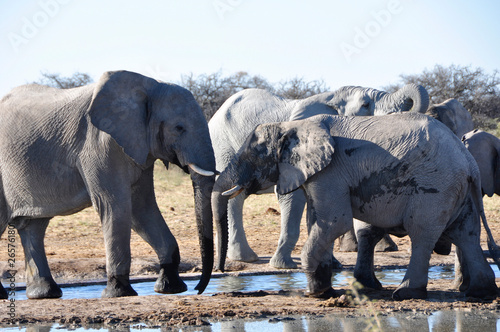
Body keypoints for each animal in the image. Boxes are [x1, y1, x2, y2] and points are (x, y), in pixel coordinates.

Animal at [0, 71, 216, 300]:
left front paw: (170, 288)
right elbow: (115, 205)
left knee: (34, 227)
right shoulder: (99, 144)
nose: (198, 289)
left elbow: (142, 209)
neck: (150, 87)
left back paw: (45, 293)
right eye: (179, 128)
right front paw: (119, 293)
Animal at [209, 83, 432, 270]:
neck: (332, 96)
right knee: (235, 197)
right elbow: (293, 198)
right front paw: (284, 267)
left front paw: (332, 265)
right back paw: (246, 258)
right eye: (365, 104)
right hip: (221, 144)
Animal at [213, 113, 498, 300]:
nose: (221, 270)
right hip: (458, 188)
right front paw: (325, 289)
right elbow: (318, 223)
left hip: (435, 185)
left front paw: (316, 293)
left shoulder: (329, 173)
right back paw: (481, 293)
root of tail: (469, 162)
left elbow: (333, 223)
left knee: (422, 233)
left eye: (254, 154)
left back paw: (406, 293)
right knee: (466, 234)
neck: (291, 126)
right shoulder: (318, 175)